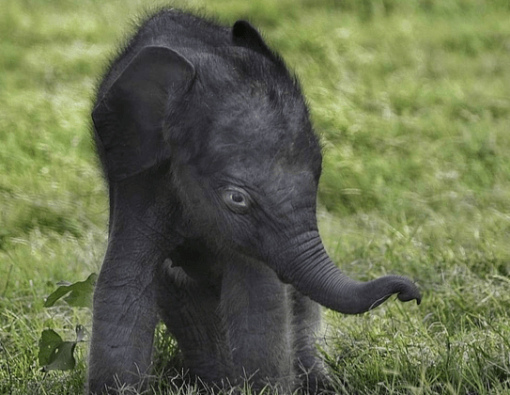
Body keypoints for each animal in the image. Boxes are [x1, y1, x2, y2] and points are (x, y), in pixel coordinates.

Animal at [88, 9, 422, 395]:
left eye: (320, 172)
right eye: (236, 199)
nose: (411, 294)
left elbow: (257, 294)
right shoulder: (141, 178)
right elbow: (124, 286)